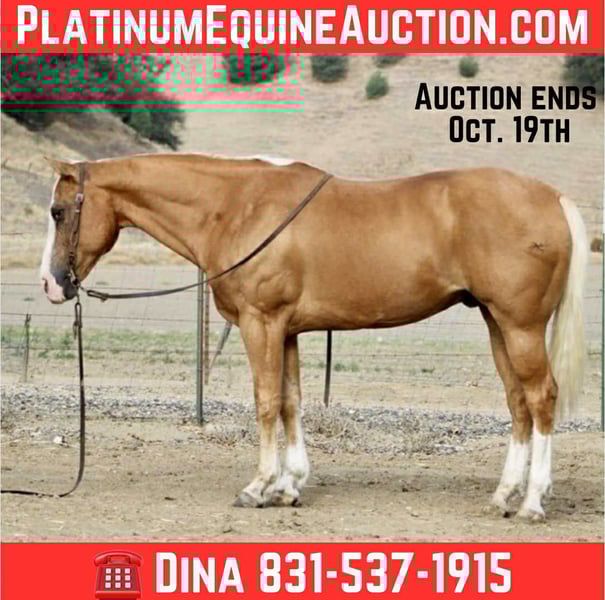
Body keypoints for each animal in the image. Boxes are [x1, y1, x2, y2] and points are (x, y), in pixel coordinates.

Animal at [40, 153, 588, 521]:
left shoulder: (261, 322)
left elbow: (265, 402)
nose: (50, 283)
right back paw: (503, 496)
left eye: (58, 211)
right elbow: (290, 402)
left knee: (541, 398)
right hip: (497, 323)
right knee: (518, 403)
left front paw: (258, 487)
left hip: (520, 325)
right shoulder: (286, 329)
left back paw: (533, 502)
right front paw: (289, 487)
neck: (236, 207)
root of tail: (552, 198)